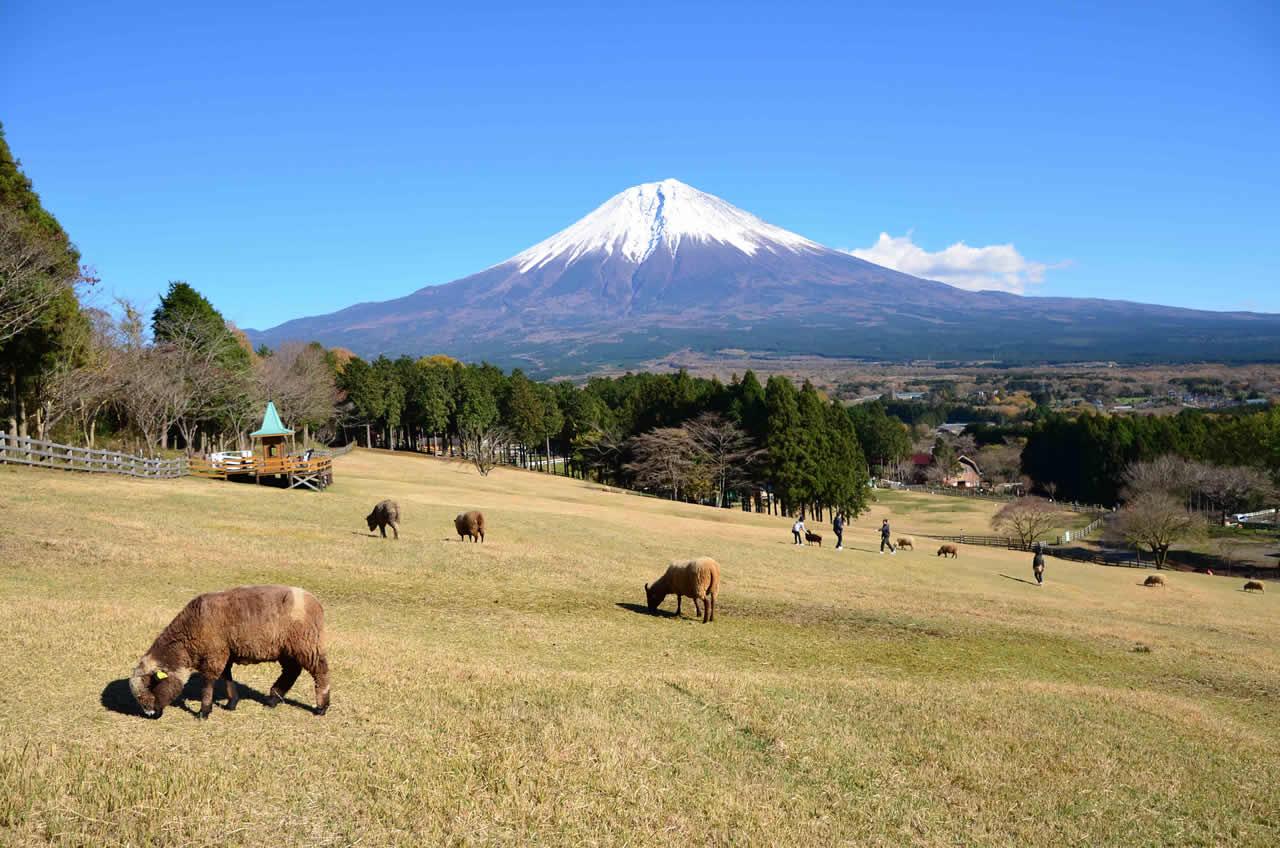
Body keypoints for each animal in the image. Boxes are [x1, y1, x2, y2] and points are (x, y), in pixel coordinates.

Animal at [128, 589, 330, 722]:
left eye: (151, 686)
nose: (151, 715)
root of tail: (316, 602)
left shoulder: (215, 654)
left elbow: (208, 682)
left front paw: (204, 711)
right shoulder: (224, 653)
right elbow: (227, 677)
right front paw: (232, 703)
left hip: (306, 643)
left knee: (320, 671)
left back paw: (321, 707)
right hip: (286, 647)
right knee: (291, 671)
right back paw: (273, 699)